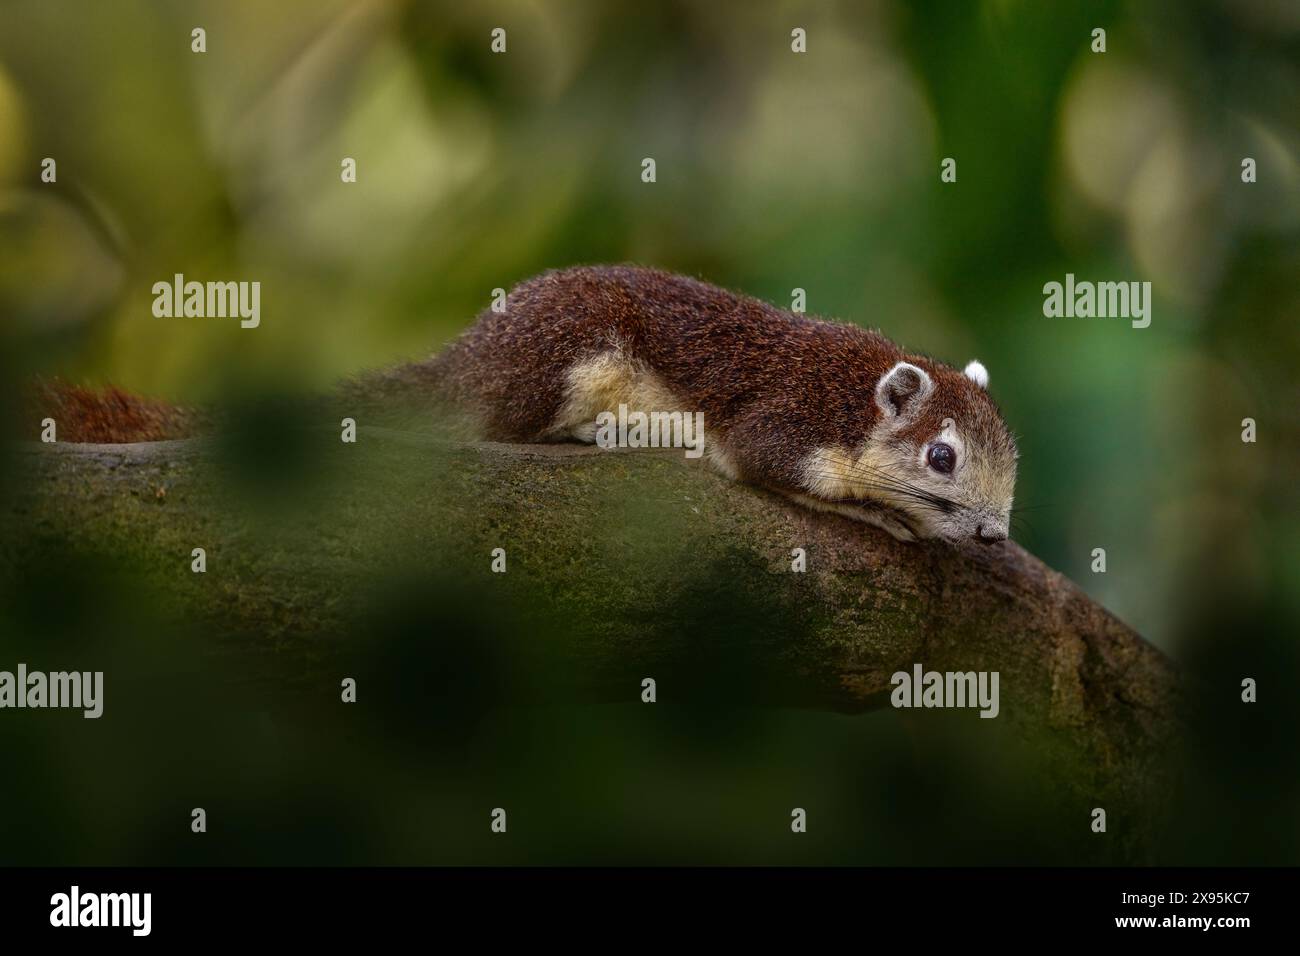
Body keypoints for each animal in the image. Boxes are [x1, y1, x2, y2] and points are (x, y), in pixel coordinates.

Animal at [427, 265, 1018, 544]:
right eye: (942, 457)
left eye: (1013, 460)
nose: (994, 536)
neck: (850, 401)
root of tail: (463, 355)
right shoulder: (780, 427)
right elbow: (780, 475)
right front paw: (881, 513)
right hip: (575, 354)